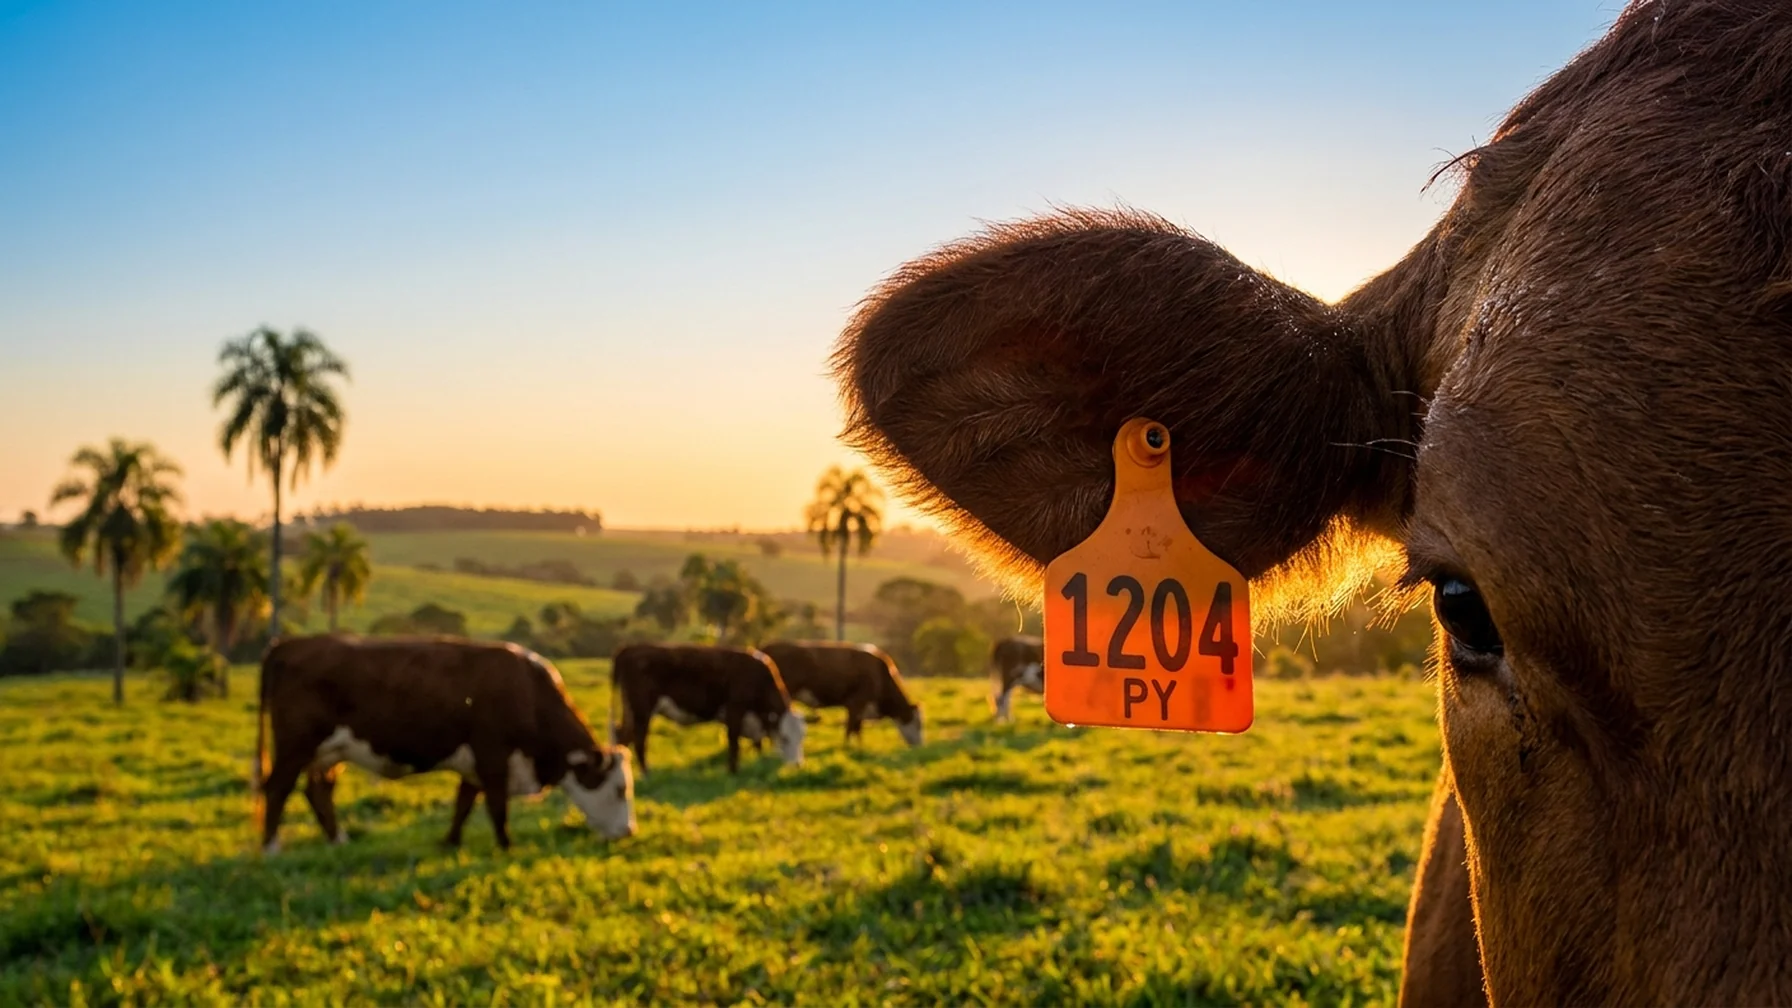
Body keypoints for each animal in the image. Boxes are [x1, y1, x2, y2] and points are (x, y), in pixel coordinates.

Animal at [255, 635, 635, 853]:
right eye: (620, 790)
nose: (629, 832)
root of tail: (287, 644)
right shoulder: (493, 756)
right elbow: (496, 806)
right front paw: (507, 846)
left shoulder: (476, 763)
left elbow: (464, 803)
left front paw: (451, 842)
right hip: (295, 746)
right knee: (277, 788)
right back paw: (271, 846)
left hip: (328, 752)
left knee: (318, 791)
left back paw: (337, 840)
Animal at [610, 643, 806, 774]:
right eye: (785, 737)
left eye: (802, 738)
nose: (797, 765)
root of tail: (630, 649)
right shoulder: (735, 709)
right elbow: (734, 743)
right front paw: (733, 771)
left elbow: (757, 743)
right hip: (641, 710)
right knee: (639, 740)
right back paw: (646, 772)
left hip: (631, 710)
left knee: (623, 736)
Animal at [759, 640, 923, 746]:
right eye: (918, 724)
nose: (920, 746)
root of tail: (766, 648)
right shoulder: (856, 702)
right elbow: (850, 727)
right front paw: (847, 747)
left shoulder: (860, 708)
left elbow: (857, 728)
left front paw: (860, 747)